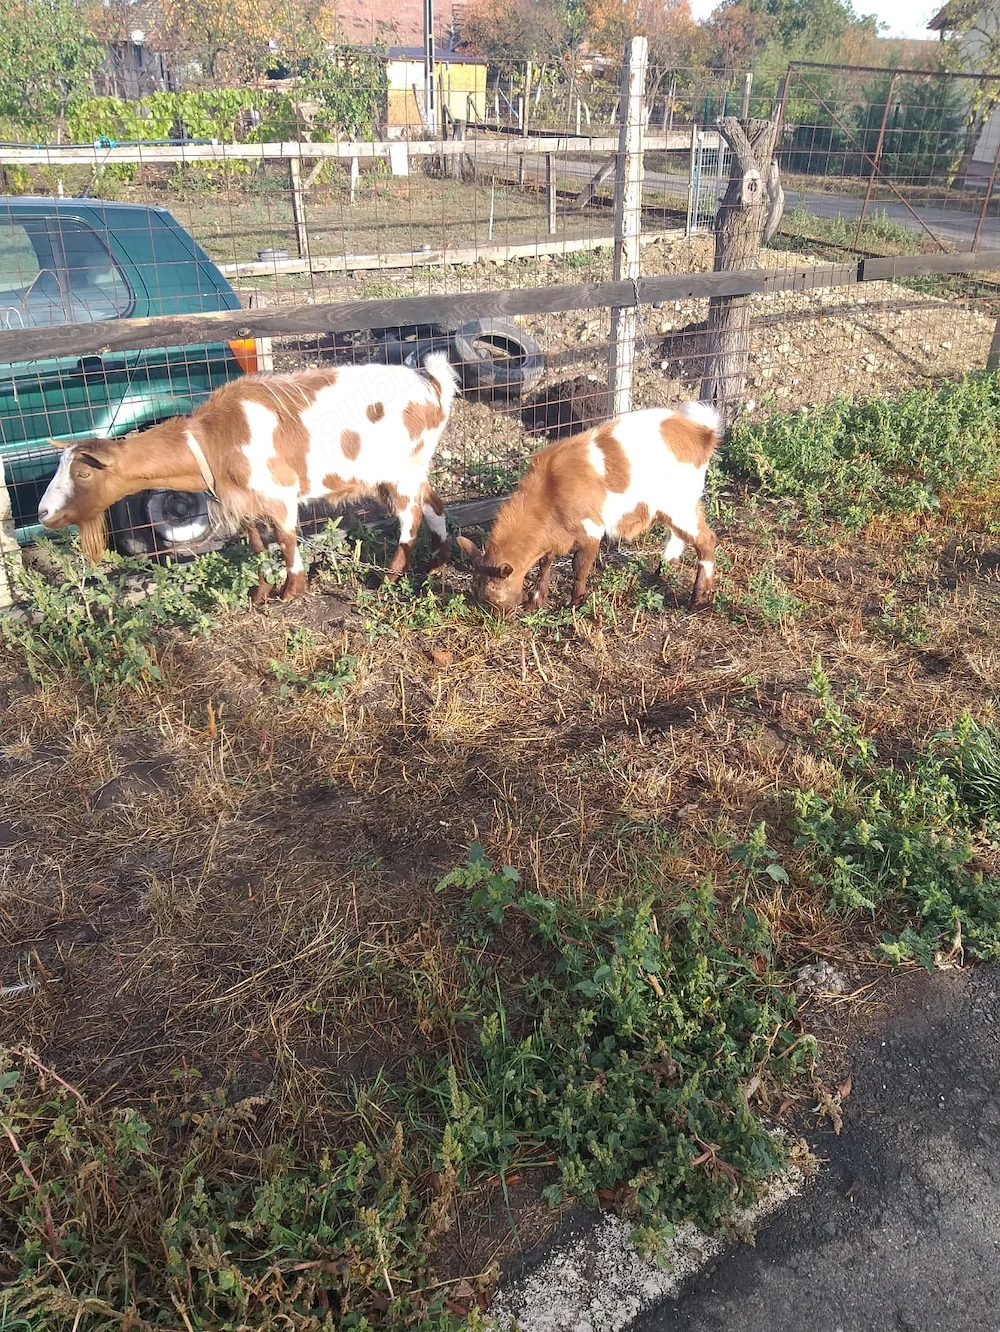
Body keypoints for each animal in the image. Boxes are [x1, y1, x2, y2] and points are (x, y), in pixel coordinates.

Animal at [37, 353, 459, 603]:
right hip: (412, 468)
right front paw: (261, 592)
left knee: (410, 518)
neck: (213, 439)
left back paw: (391, 577)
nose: (42, 512)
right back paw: (437, 563)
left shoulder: (279, 493)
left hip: (400, 471)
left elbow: (287, 541)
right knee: (434, 504)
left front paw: (291, 591)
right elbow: (257, 545)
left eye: (82, 471)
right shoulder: (243, 502)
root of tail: (433, 386)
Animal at [457, 402, 721, 613]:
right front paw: (536, 600)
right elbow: (546, 561)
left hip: (678, 501)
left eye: (493, 598)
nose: (499, 619)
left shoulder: (592, 527)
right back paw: (665, 569)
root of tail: (703, 432)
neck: (550, 488)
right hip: (676, 504)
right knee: (680, 534)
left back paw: (698, 600)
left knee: (706, 539)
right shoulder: (555, 532)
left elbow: (579, 566)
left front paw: (575, 603)